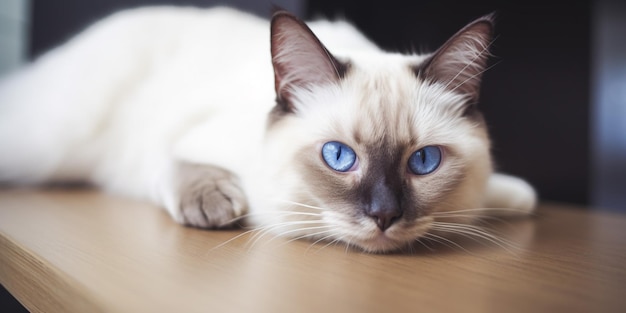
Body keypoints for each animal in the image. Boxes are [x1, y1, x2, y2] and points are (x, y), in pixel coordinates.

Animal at [1, 7, 536, 251]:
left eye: (423, 162)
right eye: (339, 157)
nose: (384, 215)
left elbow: (509, 195)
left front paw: (512, 198)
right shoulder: (168, 143)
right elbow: (182, 166)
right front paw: (220, 207)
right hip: (46, 144)